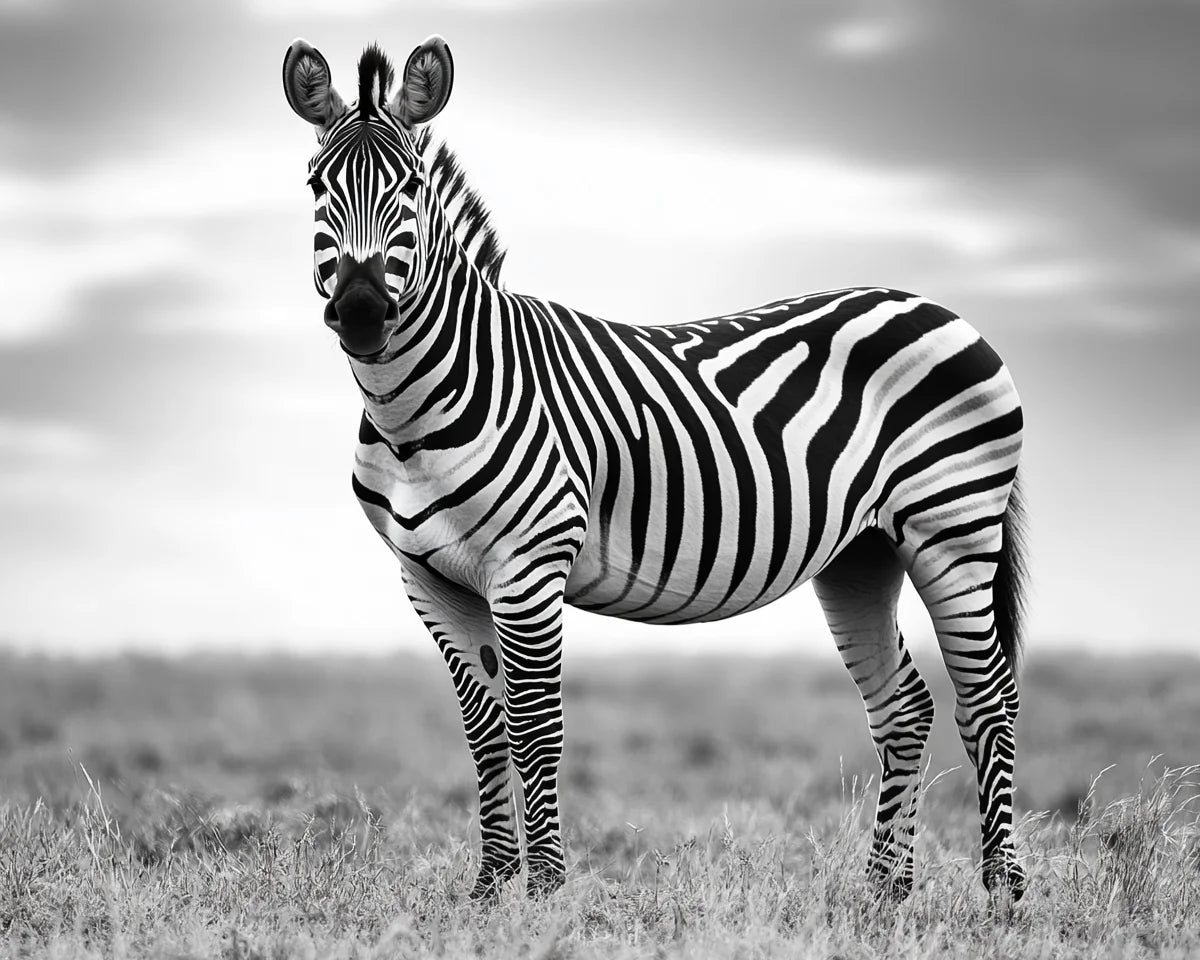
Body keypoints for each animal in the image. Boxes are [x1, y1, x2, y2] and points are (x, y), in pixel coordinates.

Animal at [282, 36, 1029, 903]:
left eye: (410, 187)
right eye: (316, 187)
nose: (362, 312)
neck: (418, 414)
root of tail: (939, 309)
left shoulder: (528, 570)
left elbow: (535, 726)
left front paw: (545, 890)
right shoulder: (427, 578)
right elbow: (485, 730)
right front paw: (490, 887)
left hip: (954, 526)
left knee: (989, 699)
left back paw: (1004, 891)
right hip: (862, 553)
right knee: (905, 706)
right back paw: (883, 891)